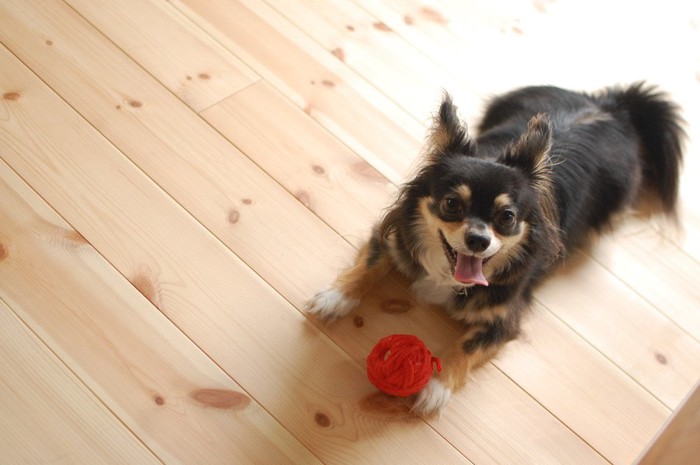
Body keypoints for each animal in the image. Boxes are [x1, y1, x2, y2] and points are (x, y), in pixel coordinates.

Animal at [304, 82, 684, 414]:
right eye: (452, 204)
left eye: (507, 217)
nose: (479, 239)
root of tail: (612, 106)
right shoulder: (393, 237)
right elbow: (368, 265)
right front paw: (335, 298)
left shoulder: (503, 322)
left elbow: (468, 345)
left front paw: (437, 388)